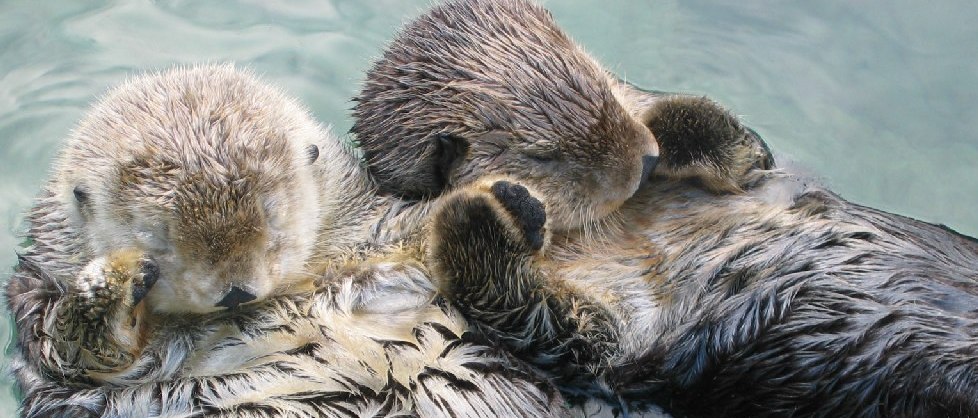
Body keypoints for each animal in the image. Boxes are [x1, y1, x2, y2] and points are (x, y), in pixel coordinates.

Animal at [354, 0, 976, 418]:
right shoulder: (613, 341)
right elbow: (541, 320)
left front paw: (699, 137)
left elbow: (718, 131)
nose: (647, 160)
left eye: (600, 79)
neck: (623, 225)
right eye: (543, 154)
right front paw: (487, 209)